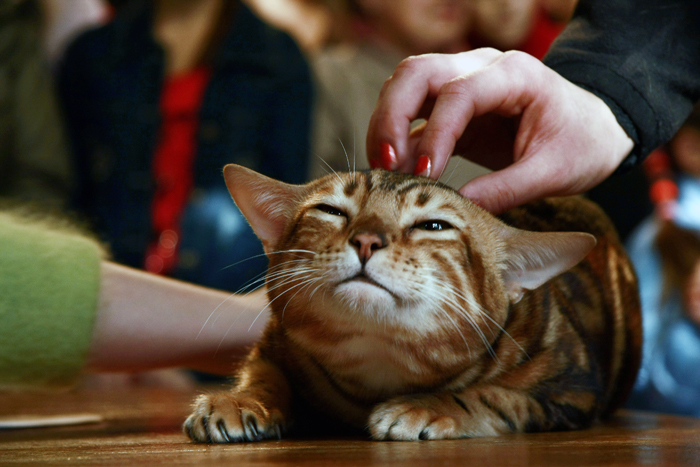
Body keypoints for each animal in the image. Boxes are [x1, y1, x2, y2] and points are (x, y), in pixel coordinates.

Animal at [183, 165, 644, 442]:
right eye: (331, 210)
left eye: (433, 225)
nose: (367, 239)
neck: (380, 367)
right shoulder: (275, 345)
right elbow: (260, 373)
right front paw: (240, 400)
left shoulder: (572, 387)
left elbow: (495, 395)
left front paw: (424, 406)